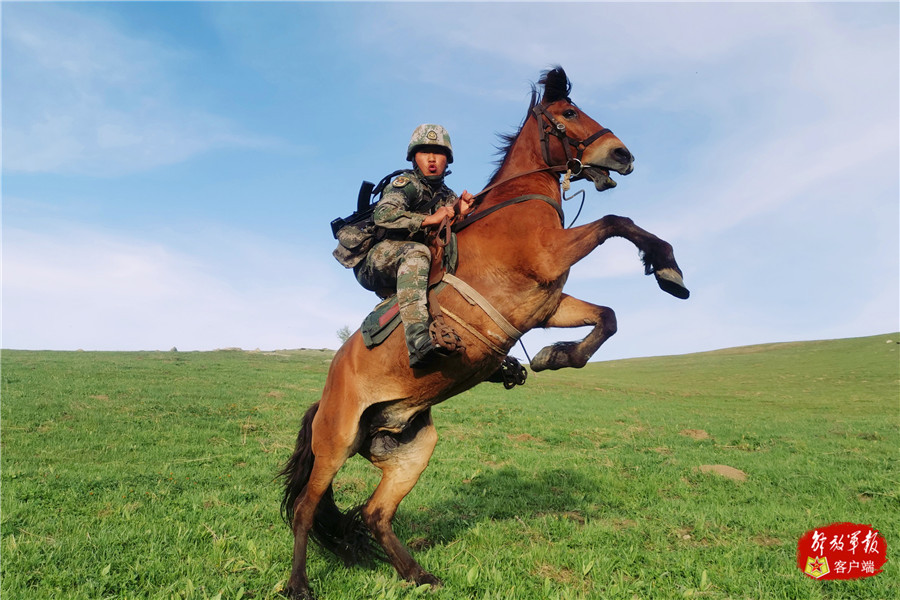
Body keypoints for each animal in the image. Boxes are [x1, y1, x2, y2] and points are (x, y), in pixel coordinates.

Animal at [282, 67, 688, 600]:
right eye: (568, 112)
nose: (622, 154)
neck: (519, 201)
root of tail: (326, 392)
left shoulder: (547, 304)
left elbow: (608, 316)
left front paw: (555, 356)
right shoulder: (551, 258)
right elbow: (615, 222)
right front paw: (667, 268)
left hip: (411, 448)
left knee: (375, 514)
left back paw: (418, 574)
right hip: (335, 444)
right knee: (306, 510)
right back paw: (298, 584)